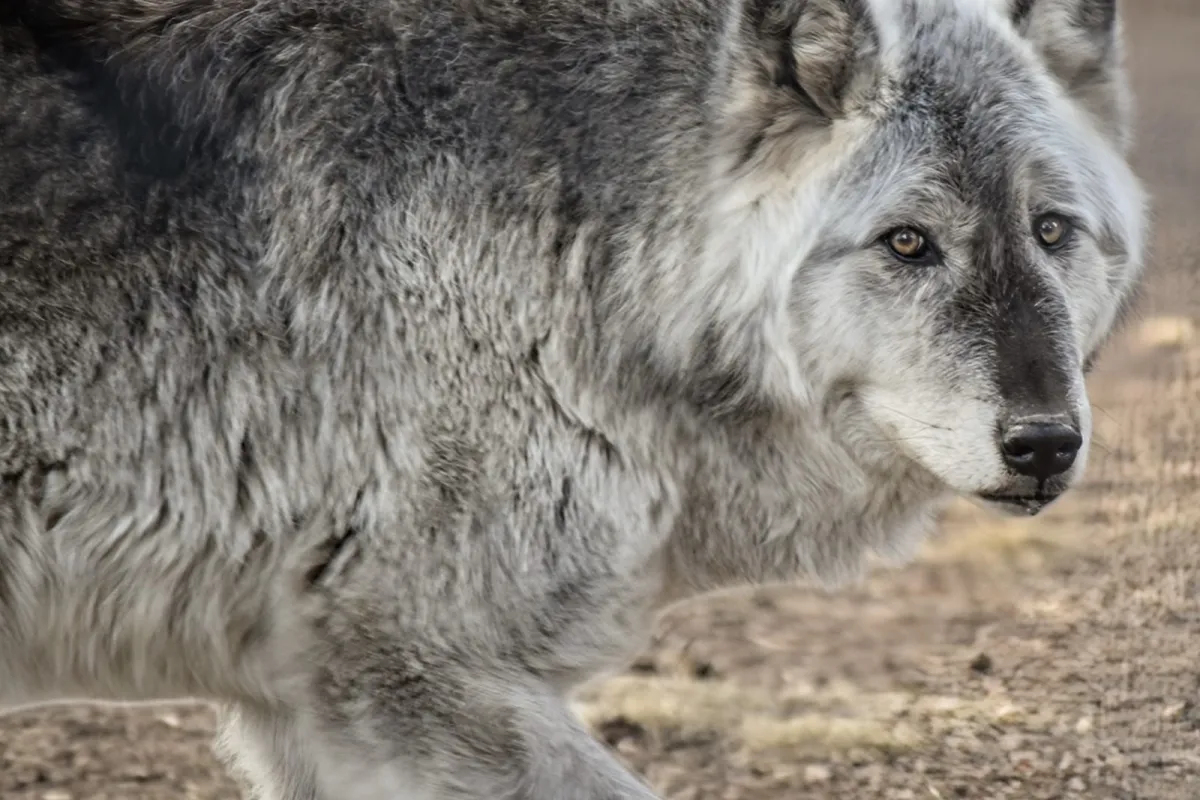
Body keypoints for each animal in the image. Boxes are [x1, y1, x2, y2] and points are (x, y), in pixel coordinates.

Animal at [0, 0, 1146, 797]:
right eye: (908, 242)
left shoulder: (306, 706)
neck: (586, 242)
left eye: (1051, 230)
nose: (1046, 442)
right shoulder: (419, 677)